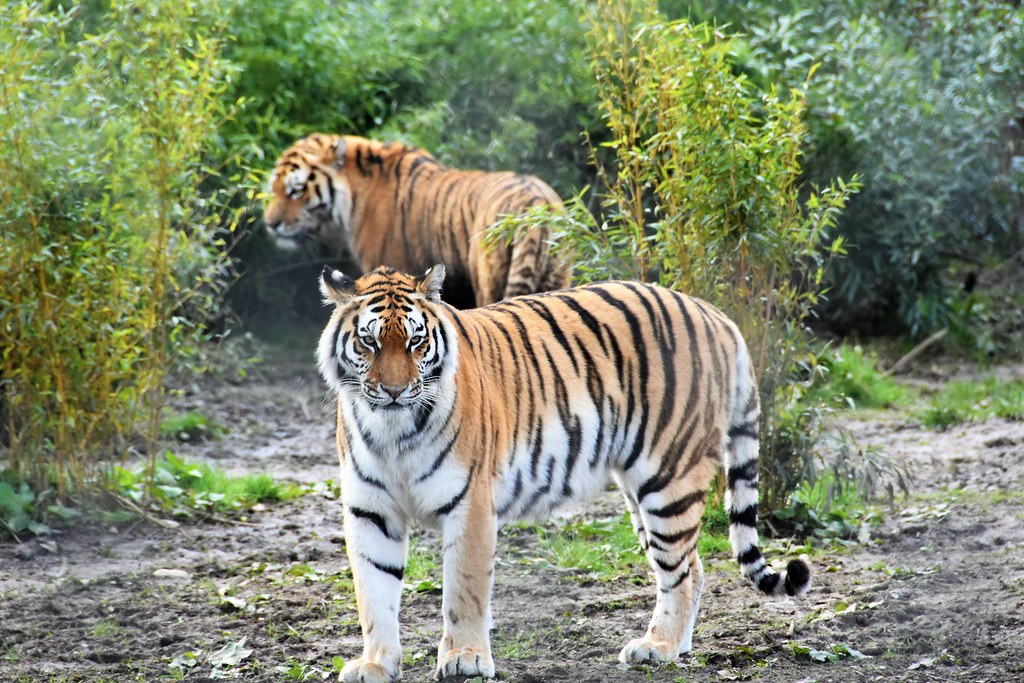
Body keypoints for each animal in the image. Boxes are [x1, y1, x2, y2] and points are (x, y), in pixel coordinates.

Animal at [316, 264, 811, 683]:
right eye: (369, 342)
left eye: (416, 342)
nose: (395, 391)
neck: (393, 431)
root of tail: (715, 315)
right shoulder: (370, 511)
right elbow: (374, 594)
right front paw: (375, 664)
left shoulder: (470, 504)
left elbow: (463, 590)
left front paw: (465, 658)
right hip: (641, 493)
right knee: (693, 566)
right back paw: (675, 646)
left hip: (668, 477)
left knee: (681, 571)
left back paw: (658, 647)